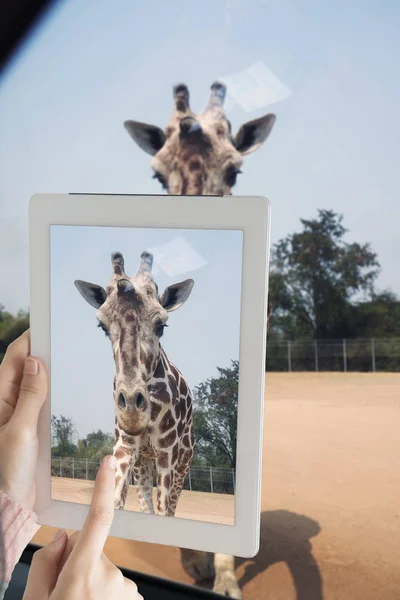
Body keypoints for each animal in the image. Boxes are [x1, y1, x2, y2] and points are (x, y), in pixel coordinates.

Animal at [75, 251, 195, 516]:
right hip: (143, 462)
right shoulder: (126, 446)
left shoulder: (167, 450)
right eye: (103, 326)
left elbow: (163, 509)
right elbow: (118, 501)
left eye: (162, 325)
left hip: (184, 460)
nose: (132, 414)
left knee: (171, 507)